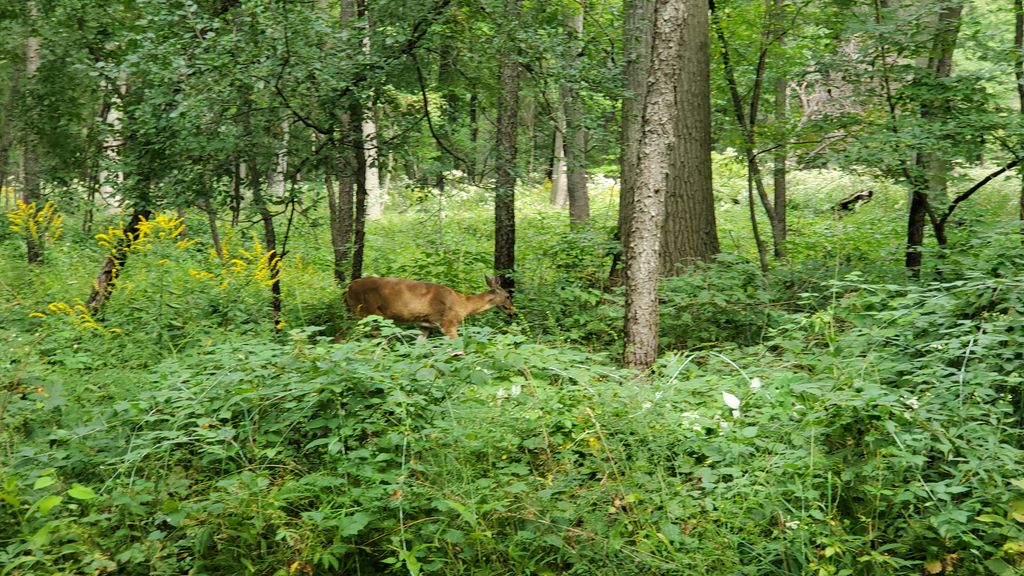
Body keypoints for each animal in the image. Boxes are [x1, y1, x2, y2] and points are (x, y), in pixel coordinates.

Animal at [346, 272, 516, 336]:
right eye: (508, 296)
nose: (513, 312)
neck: (463, 305)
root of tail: (349, 286)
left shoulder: (425, 326)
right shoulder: (448, 324)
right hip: (367, 313)